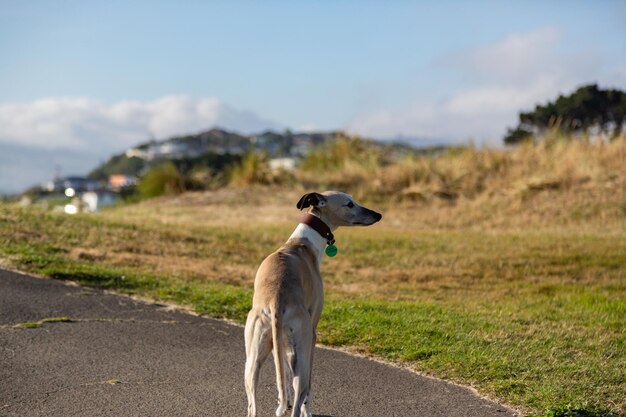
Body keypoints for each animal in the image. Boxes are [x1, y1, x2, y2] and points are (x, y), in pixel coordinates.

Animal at [243, 191, 380, 416]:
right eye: (349, 204)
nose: (378, 215)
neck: (301, 243)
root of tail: (276, 301)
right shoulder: (313, 333)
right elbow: (305, 389)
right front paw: (307, 408)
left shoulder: (285, 346)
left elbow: (283, 379)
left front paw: (283, 400)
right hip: (303, 347)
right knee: (300, 392)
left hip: (253, 356)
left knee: (253, 403)